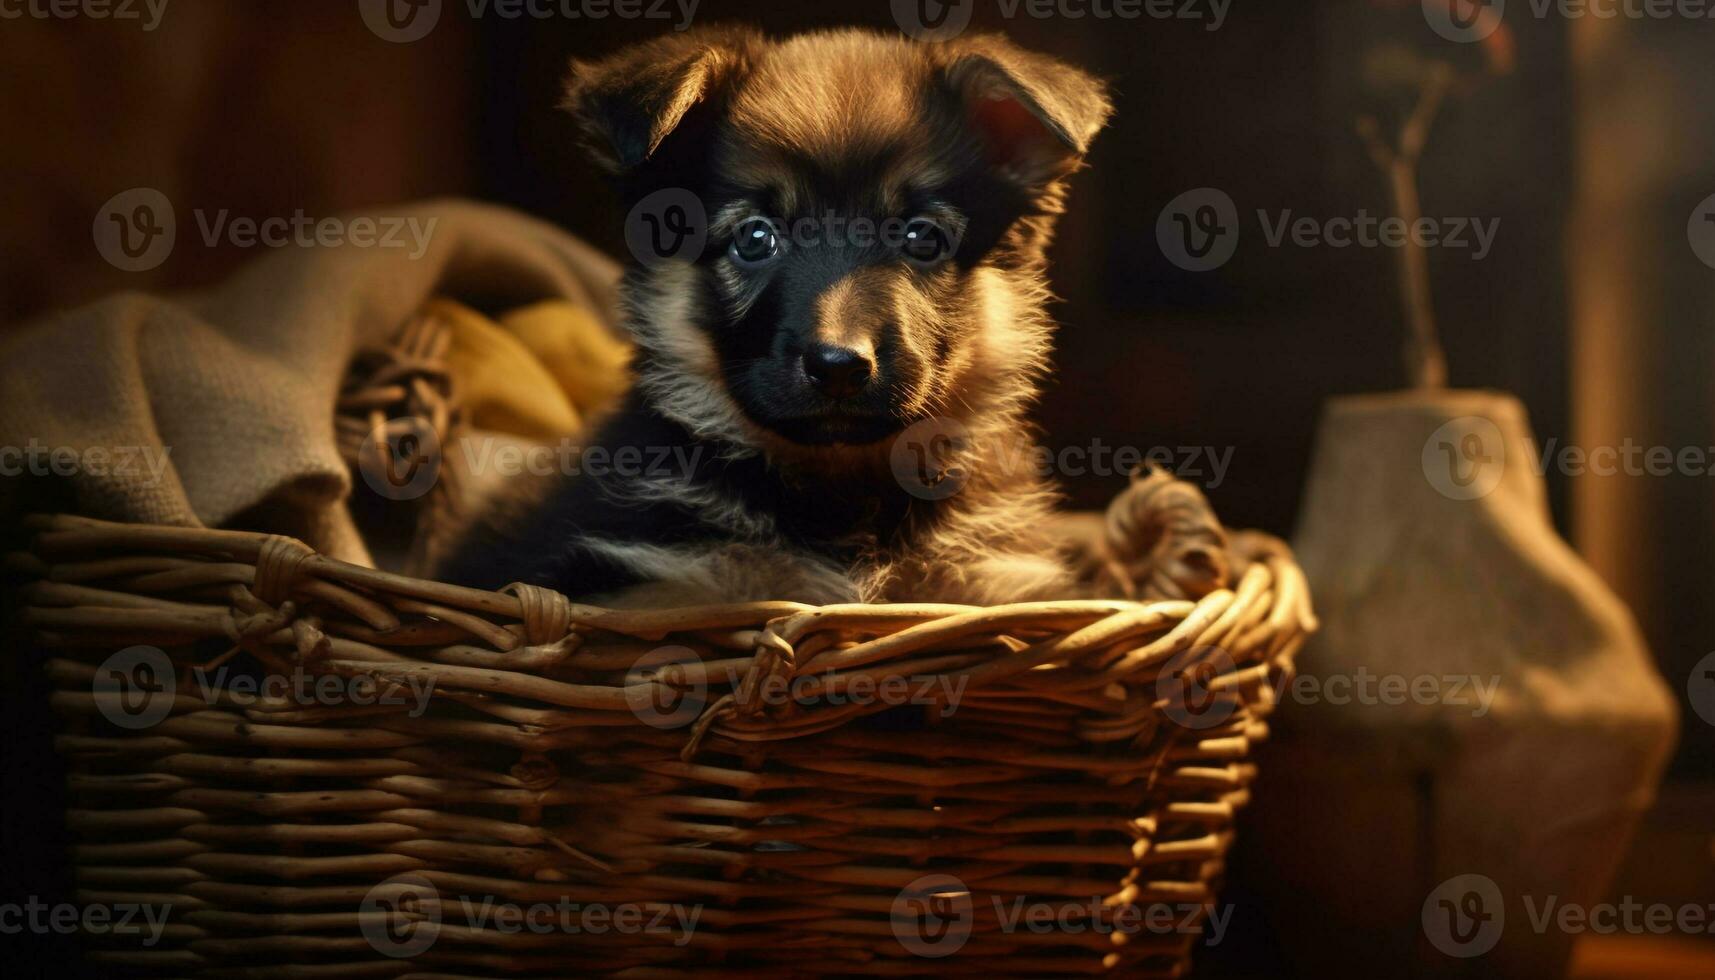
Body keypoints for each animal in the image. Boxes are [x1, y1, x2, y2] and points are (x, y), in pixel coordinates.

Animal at [442, 26, 1111, 607]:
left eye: (923, 237)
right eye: (755, 238)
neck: (841, 494)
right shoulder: (658, 576)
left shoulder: (991, 579)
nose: (839, 366)